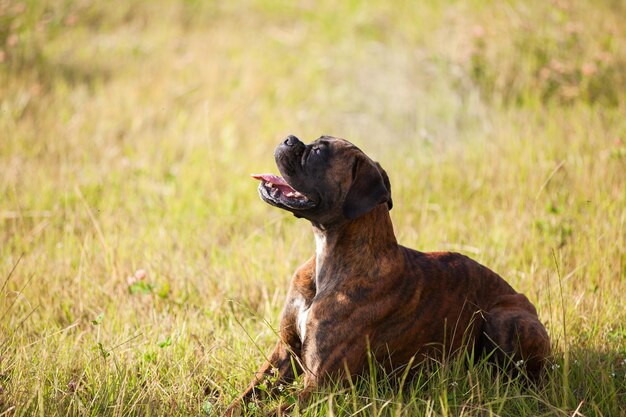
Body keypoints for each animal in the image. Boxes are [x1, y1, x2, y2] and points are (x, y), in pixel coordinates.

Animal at [227, 136, 548, 412]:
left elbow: (277, 411)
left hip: (503, 320)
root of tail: (526, 301)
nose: (290, 138)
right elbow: (245, 397)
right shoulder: (284, 354)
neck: (329, 258)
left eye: (318, 152)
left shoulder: (321, 387)